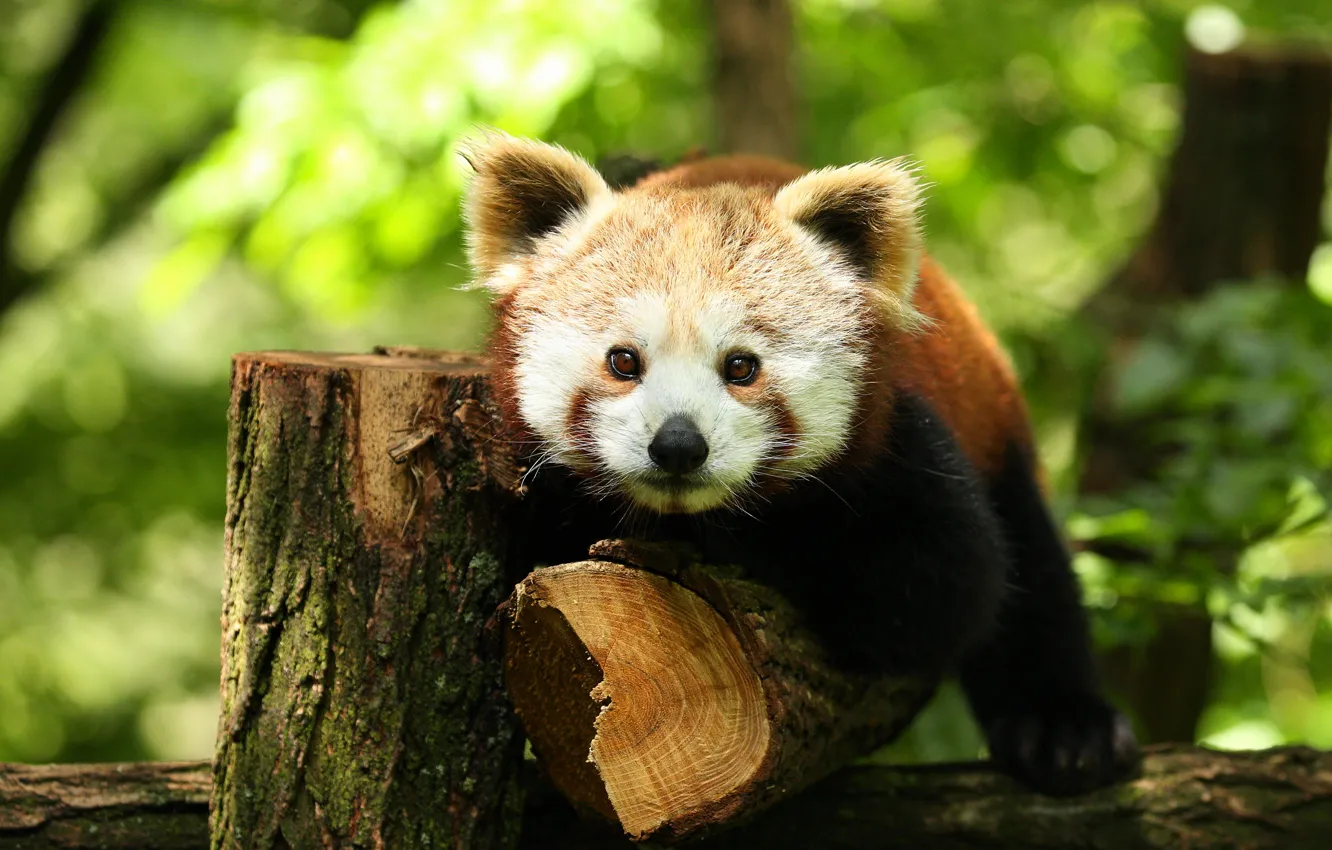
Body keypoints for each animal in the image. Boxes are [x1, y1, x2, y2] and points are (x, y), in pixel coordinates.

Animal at [461, 132, 1140, 795]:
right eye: (624, 361)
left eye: (741, 366)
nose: (678, 445)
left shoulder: (905, 451)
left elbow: (943, 593)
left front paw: (740, 547)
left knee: (1034, 568)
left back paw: (1064, 727)